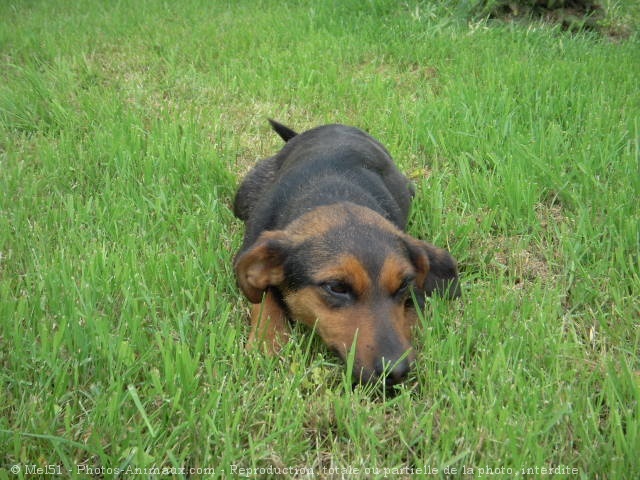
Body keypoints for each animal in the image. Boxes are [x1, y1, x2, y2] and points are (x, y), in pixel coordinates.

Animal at [232, 120, 458, 386]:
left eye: (404, 285)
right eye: (337, 287)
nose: (396, 372)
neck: (331, 194)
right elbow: (264, 299)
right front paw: (266, 343)